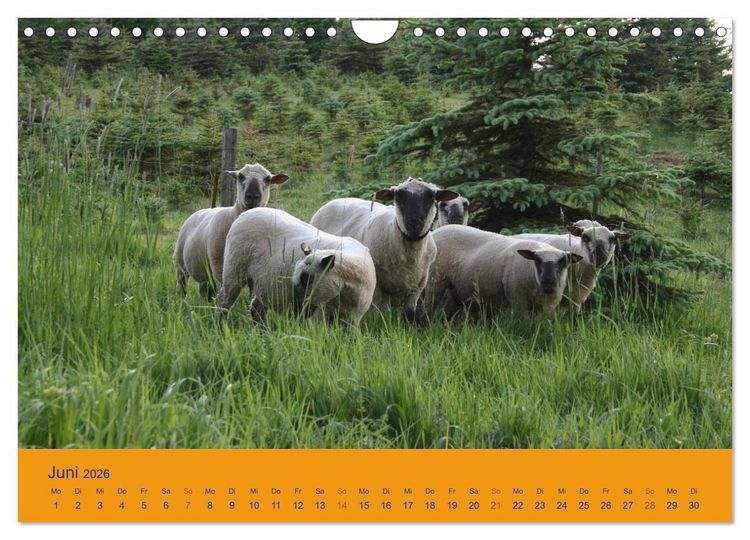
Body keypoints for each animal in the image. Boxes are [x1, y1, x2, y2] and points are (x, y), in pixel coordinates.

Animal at [173, 163, 288, 299]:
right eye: (240, 176)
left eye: (268, 179)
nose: (252, 196)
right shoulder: (219, 267)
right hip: (180, 263)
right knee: (181, 285)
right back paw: (181, 301)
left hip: (204, 272)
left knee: (205, 290)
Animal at [219, 208, 376, 326]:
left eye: (309, 279)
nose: (299, 310)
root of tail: (246, 213)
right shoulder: (319, 317)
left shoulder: (353, 319)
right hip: (233, 270)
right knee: (224, 301)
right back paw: (221, 325)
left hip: (262, 283)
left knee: (256, 307)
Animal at [310, 177, 459, 325]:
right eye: (398, 196)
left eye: (431, 197)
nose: (414, 223)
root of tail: (336, 200)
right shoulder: (380, 288)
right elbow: (384, 314)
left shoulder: (419, 285)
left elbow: (409, 313)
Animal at [424, 225, 583, 319]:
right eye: (537, 260)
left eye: (563, 261)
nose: (548, 282)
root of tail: (437, 230)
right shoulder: (518, 299)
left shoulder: (549, 305)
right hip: (434, 282)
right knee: (427, 307)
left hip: (454, 289)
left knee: (449, 311)